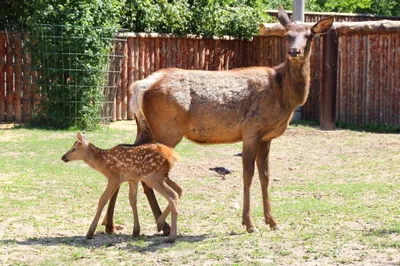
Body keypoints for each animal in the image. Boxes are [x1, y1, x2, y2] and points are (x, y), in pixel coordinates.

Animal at [104, 7, 334, 234]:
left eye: (309, 35)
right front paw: (249, 223)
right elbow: (248, 175)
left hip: (144, 127)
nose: (294, 52)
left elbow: (265, 176)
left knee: (125, 158)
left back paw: (113, 224)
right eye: (287, 35)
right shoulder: (252, 130)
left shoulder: (267, 137)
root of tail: (140, 87)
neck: (284, 95)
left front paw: (272, 221)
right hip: (166, 129)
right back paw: (162, 225)